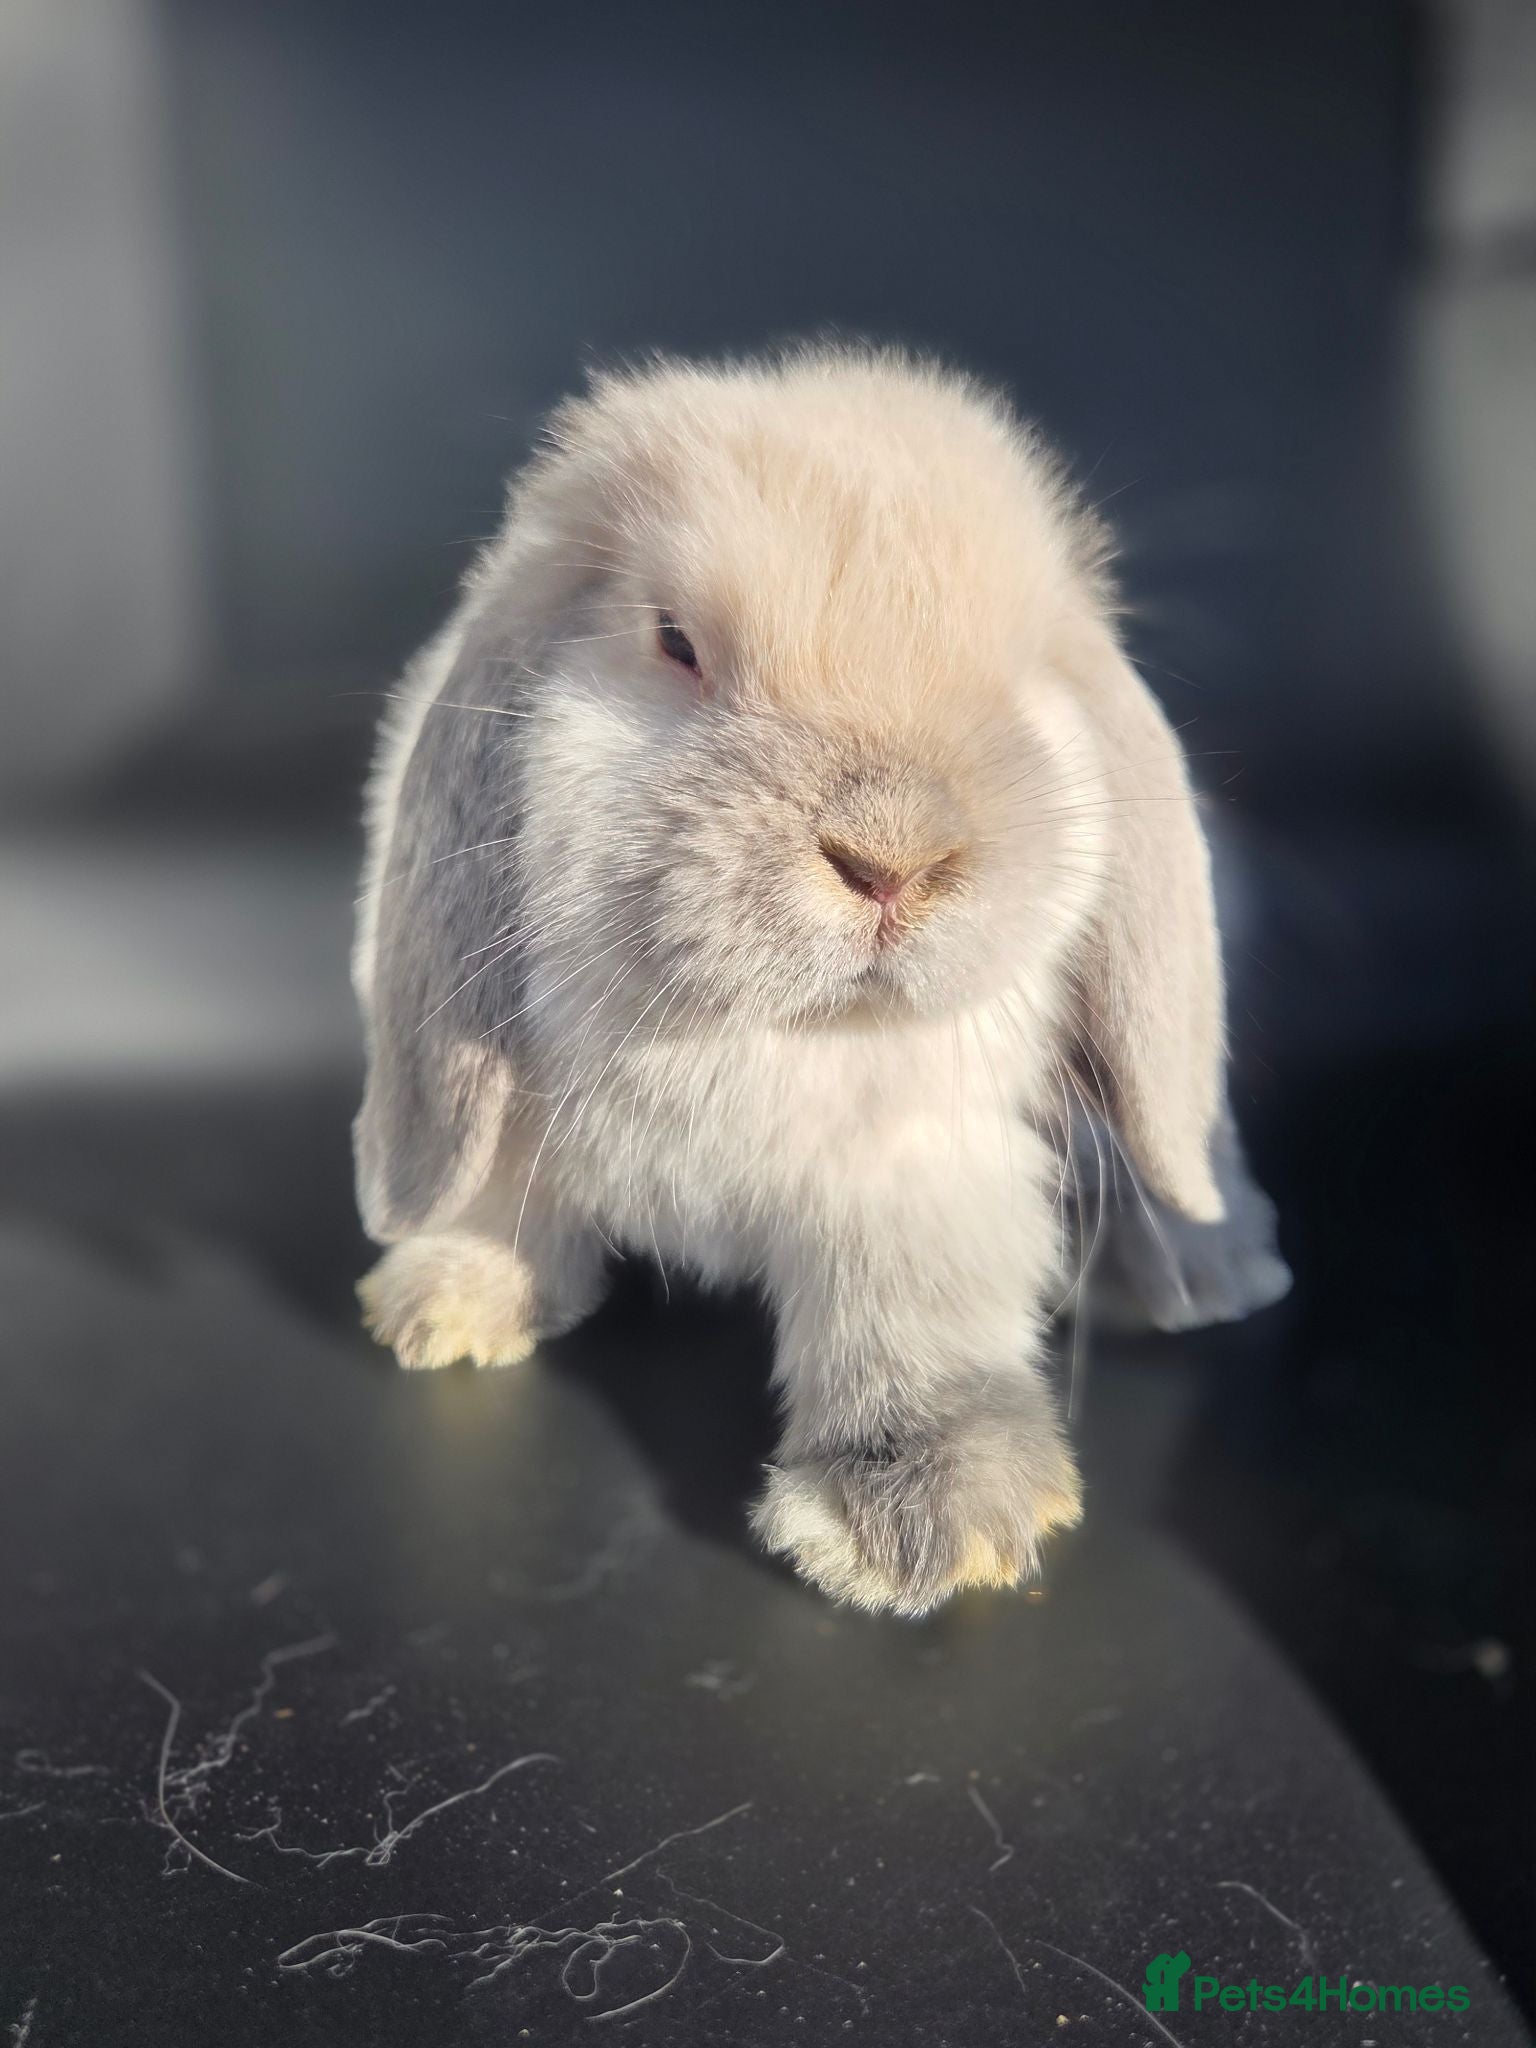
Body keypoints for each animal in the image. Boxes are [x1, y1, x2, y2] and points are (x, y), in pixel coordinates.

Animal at [352, 344, 1262, 1616]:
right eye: (676, 641)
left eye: (1021, 680)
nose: (894, 858)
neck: (748, 1021)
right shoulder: (506, 1098)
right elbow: (491, 1180)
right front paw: (447, 1301)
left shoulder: (916, 1172)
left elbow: (909, 1309)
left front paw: (922, 1517)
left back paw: (1210, 1272)